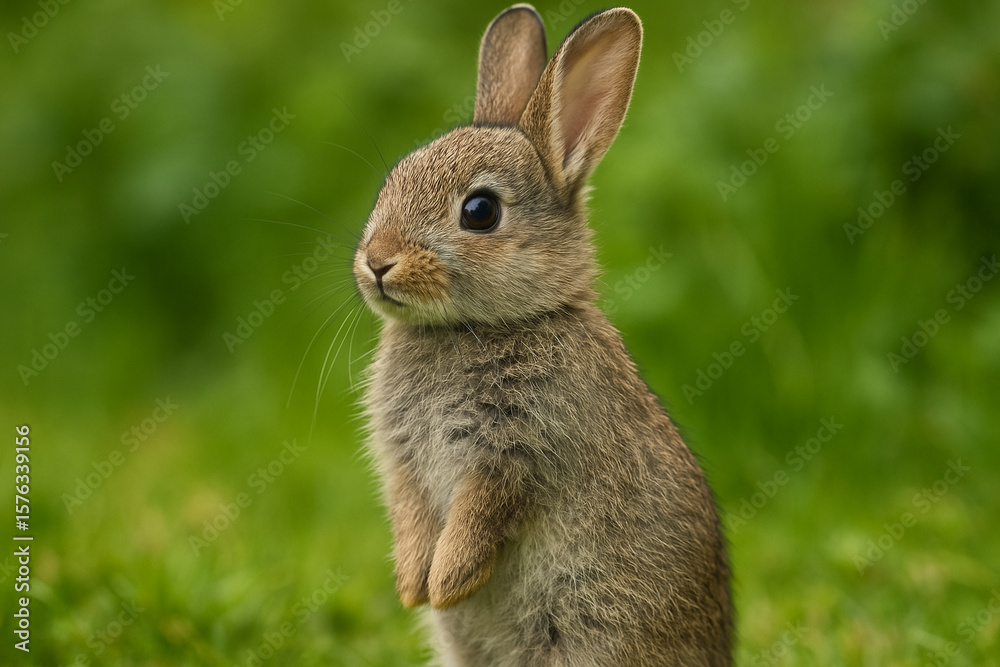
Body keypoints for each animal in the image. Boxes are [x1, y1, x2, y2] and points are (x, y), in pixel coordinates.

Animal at [352, 4, 732, 665]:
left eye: (480, 211)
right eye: (390, 182)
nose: (377, 262)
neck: (476, 327)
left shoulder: (518, 453)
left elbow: (481, 515)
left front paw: (445, 583)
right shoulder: (401, 461)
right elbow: (409, 513)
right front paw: (413, 586)